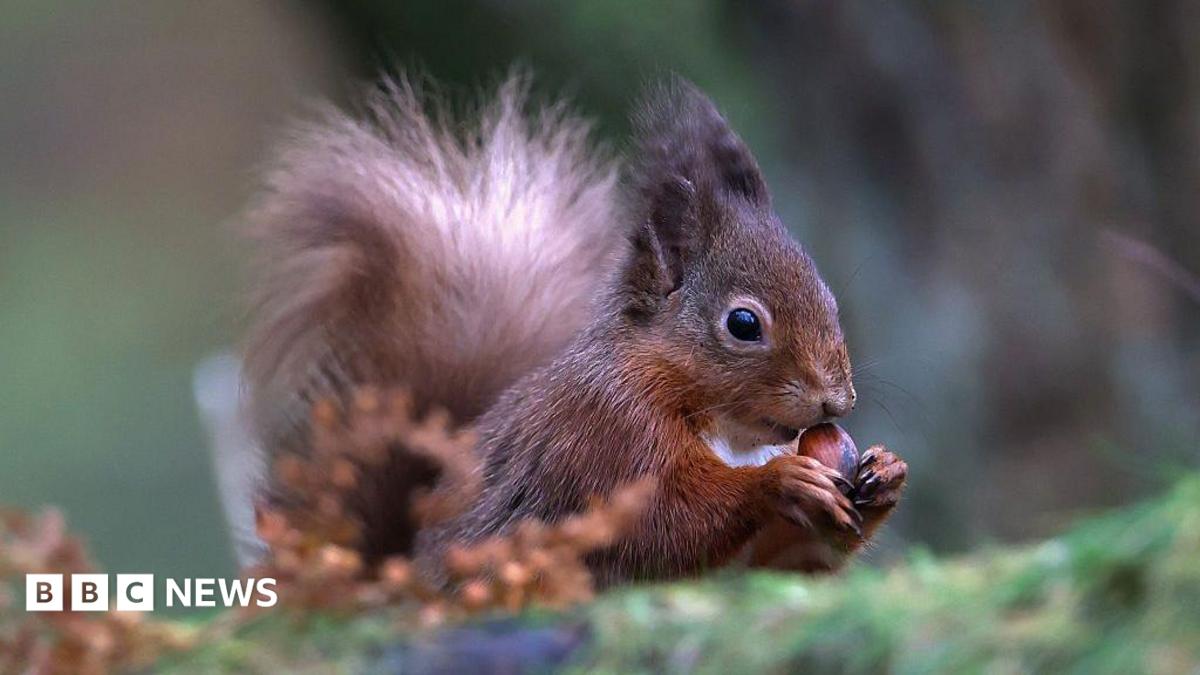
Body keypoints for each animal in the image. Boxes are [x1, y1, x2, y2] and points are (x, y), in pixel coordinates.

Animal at [241, 74, 907, 585]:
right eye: (743, 323)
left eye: (830, 298)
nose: (837, 400)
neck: (727, 431)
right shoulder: (604, 434)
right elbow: (662, 522)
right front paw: (779, 481)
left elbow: (779, 562)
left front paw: (886, 474)